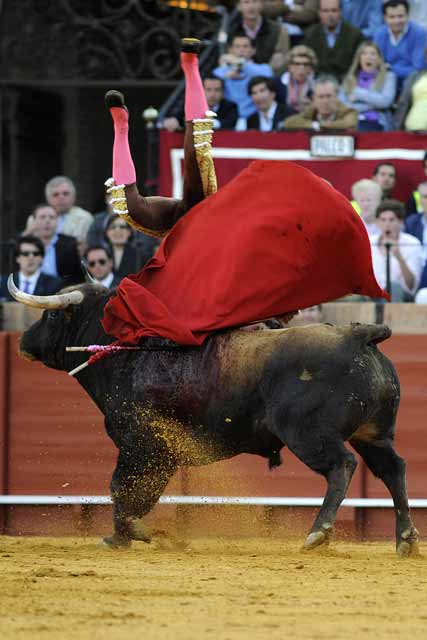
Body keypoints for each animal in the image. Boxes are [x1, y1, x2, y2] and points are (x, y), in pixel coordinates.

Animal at [19, 284, 418, 556]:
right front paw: (122, 535)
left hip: (309, 435)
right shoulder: (160, 453)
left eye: (50, 315)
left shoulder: (143, 444)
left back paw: (318, 534)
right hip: (374, 434)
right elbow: (137, 491)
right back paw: (406, 539)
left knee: (342, 466)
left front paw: (127, 533)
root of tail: (360, 335)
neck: (129, 354)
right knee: (393, 469)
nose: (22, 340)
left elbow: (122, 487)